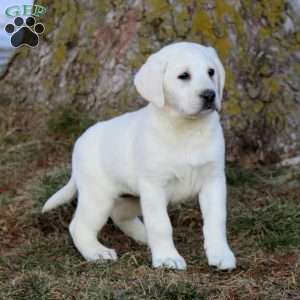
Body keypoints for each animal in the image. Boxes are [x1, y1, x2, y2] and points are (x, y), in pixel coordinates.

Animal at [43, 41, 238, 270]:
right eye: (183, 76)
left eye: (211, 72)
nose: (209, 95)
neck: (186, 129)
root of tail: (81, 141)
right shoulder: (154, 187)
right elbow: (161, 224)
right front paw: (167, 258)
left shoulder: (213, 181)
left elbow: (216, 221)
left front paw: (221, 254)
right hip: (98, 196)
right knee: (79, 226)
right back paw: (97, 252)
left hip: (133, 196)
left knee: (119, 215)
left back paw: (144, 237)